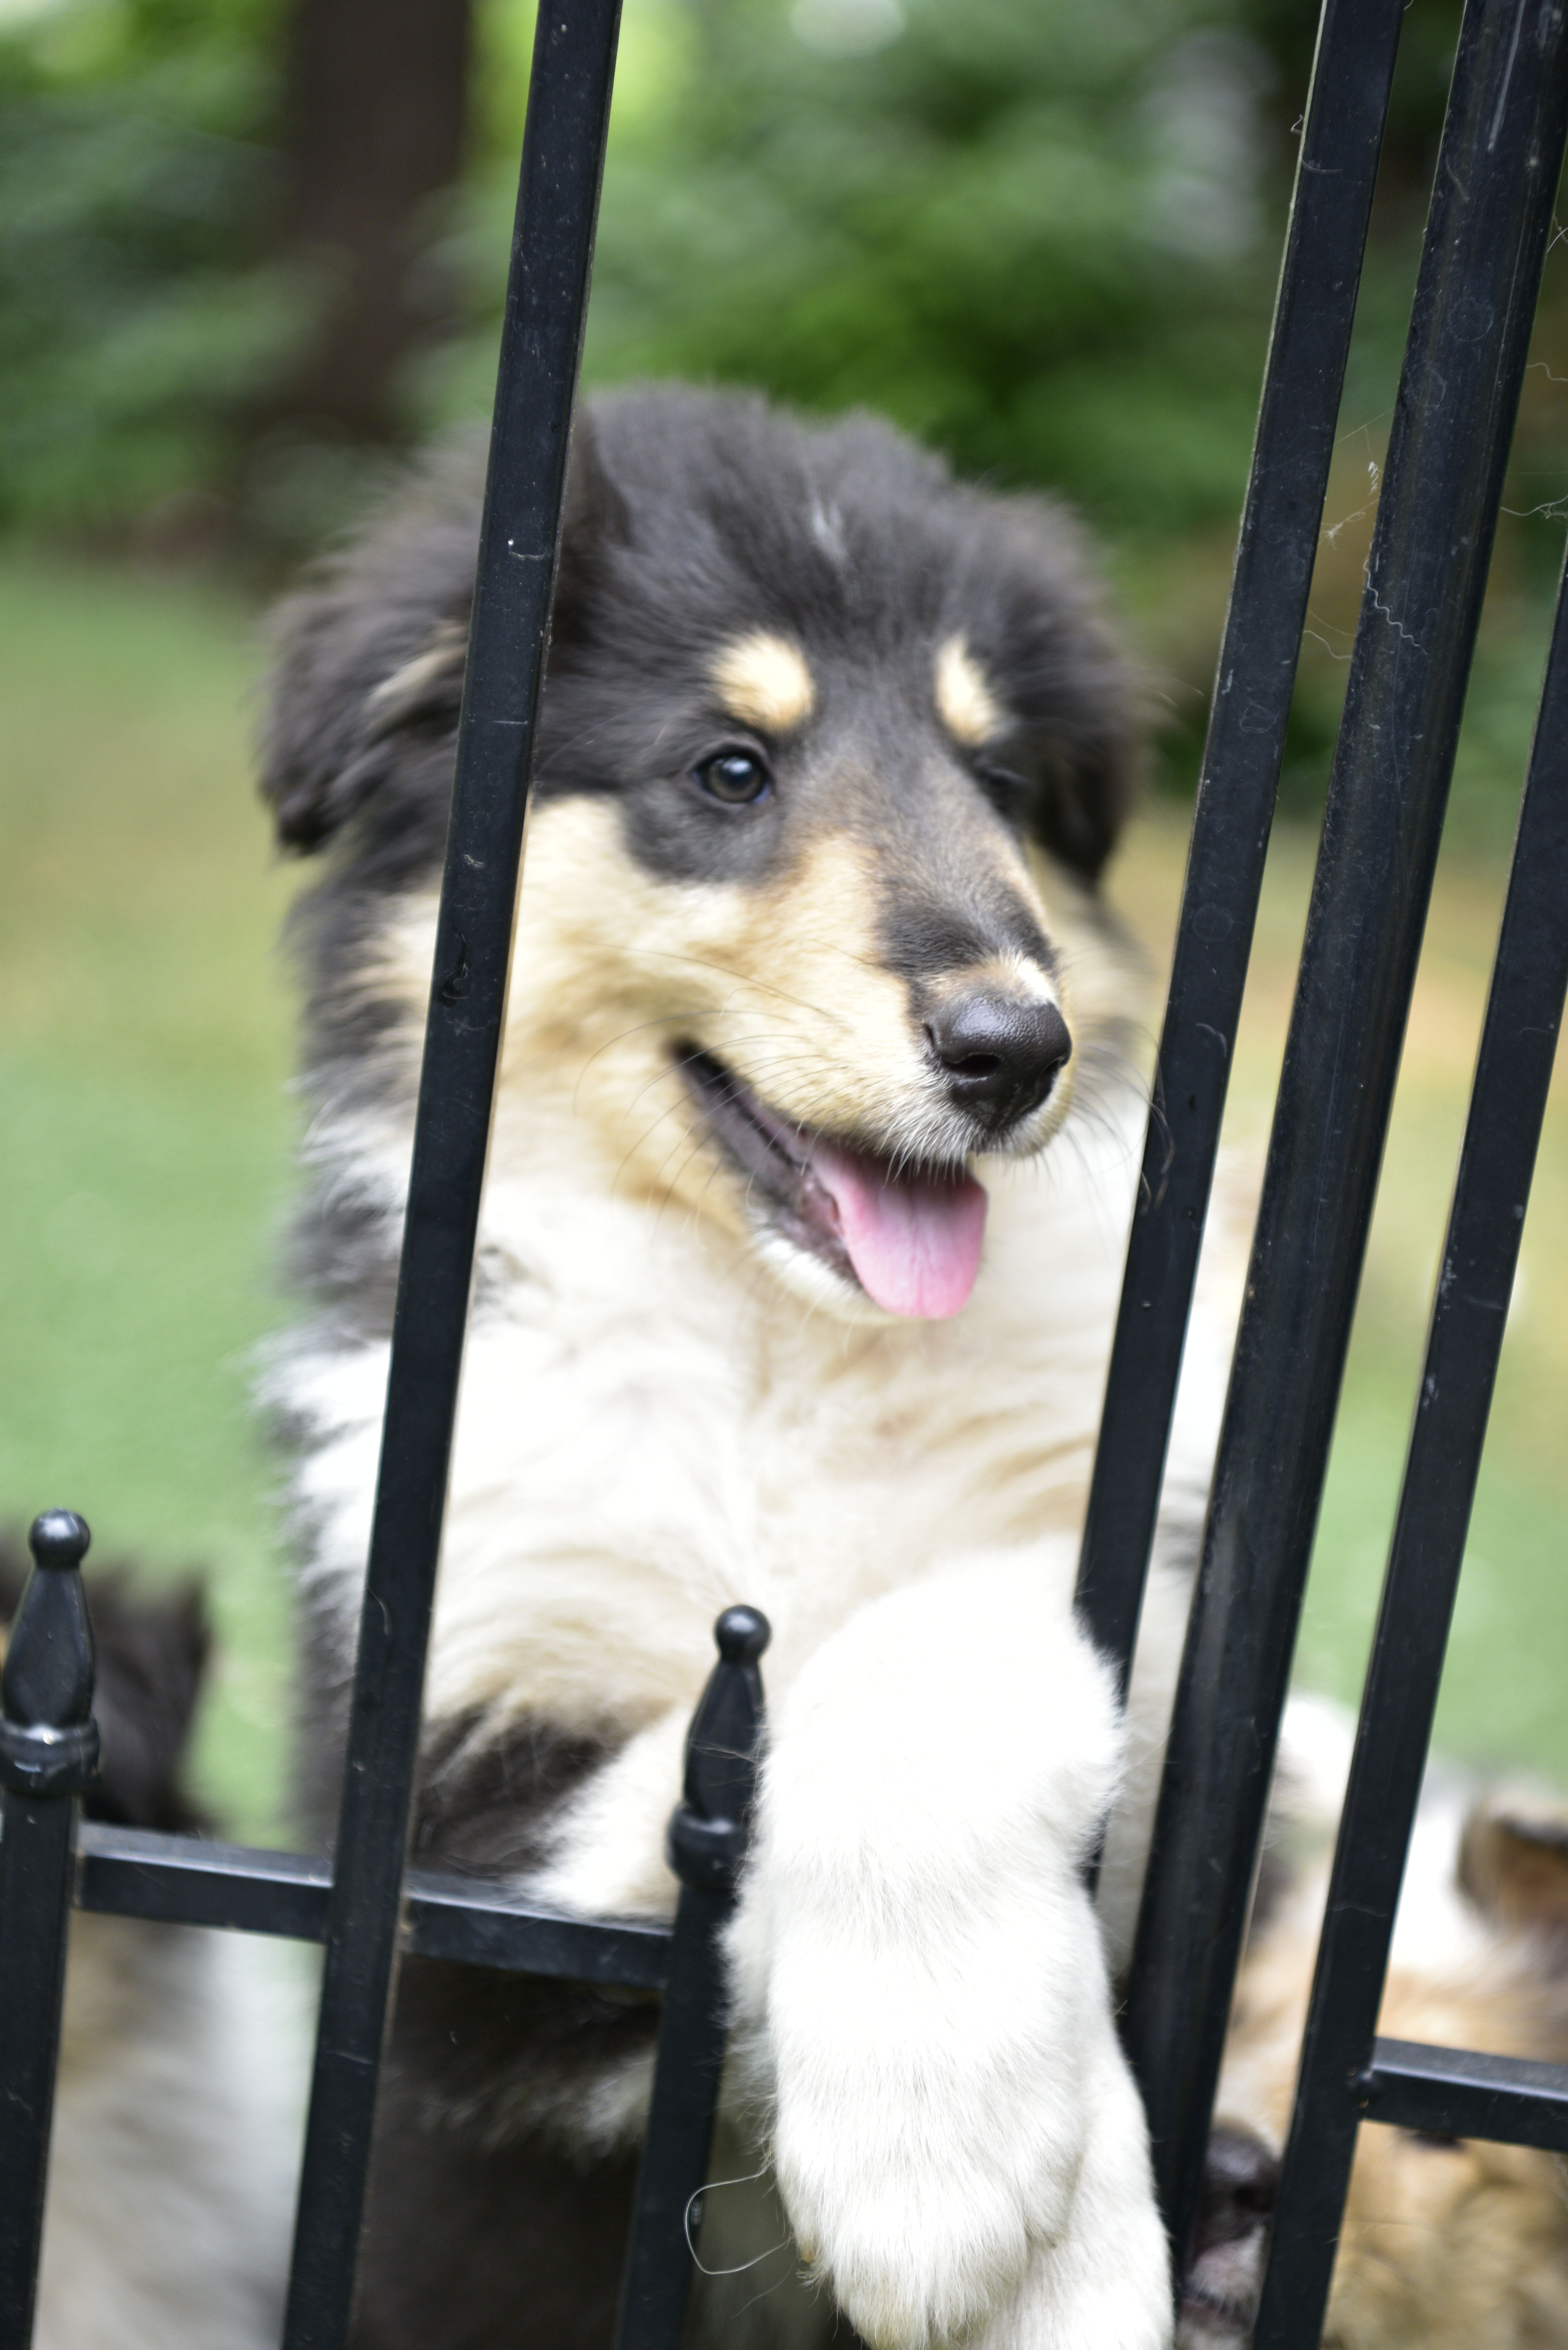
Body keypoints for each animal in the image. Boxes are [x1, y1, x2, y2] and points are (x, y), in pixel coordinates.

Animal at [261, 385, 1239, 2350]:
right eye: (729, 769)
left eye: (995, 780)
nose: (1013, 1046)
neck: (780, 1345)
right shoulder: (435, 1866)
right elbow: (745, 1727)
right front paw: (968, 2174)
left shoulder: (1169, 1619)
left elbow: (932, 1633)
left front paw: (1000, 2194)